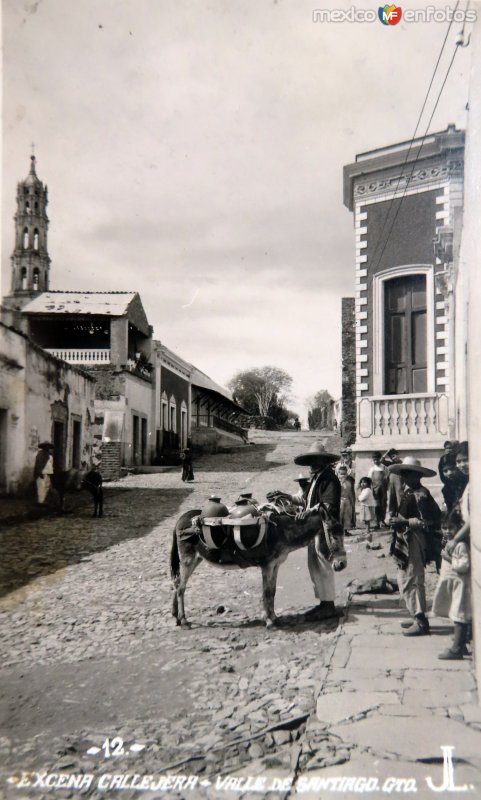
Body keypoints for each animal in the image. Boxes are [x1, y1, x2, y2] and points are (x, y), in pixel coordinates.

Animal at [169, 500, 344, 624]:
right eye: (334, 535)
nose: (342, 564)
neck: (281, 531)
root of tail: (181, 518)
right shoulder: (267, 565)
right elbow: (266, 592)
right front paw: (269, 621)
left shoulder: (275, 565)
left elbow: (272, 591)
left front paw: (274, 617)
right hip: (188, 559)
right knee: (181, 587)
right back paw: (183, 619)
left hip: (195, 559)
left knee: (177, 583)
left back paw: (176, 616)